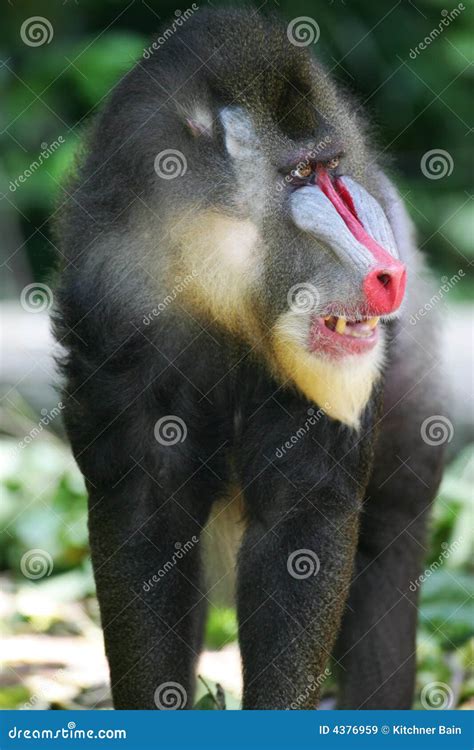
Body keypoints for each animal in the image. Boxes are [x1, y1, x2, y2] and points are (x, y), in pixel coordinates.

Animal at [53, 8, 446, 710]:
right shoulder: (111, 318)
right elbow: (146, 524)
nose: (389, 271)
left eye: (332, 166)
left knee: (390, 528)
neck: (213, 296)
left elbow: (301, 520)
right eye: (301, 174)